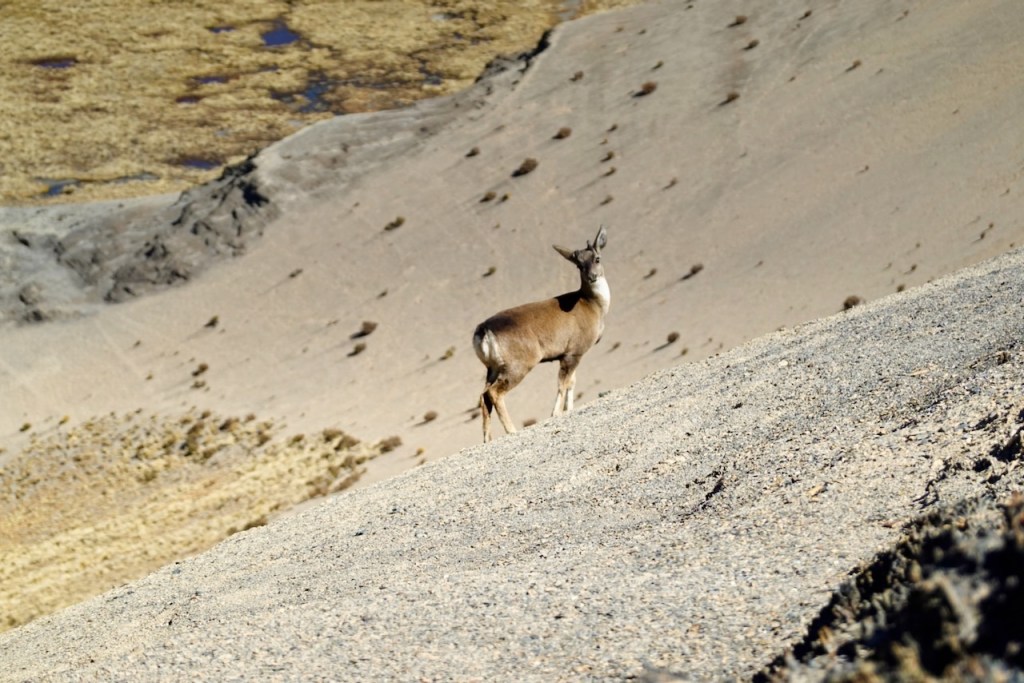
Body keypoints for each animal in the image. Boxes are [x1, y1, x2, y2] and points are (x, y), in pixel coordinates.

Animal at [473, 225, 609, 442]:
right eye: (579, 265)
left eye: (597, 258)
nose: (592, 277)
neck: (593, 305)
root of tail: (483, 330)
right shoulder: (573, 351)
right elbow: (563, 383)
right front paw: (556, 413)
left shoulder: (572, 353)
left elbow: (572, 382)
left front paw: (569, 409)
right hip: (518, 364)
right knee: (494, 393)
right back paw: (511, 430)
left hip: (492, 367)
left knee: (483, 395)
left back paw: (487, 439)